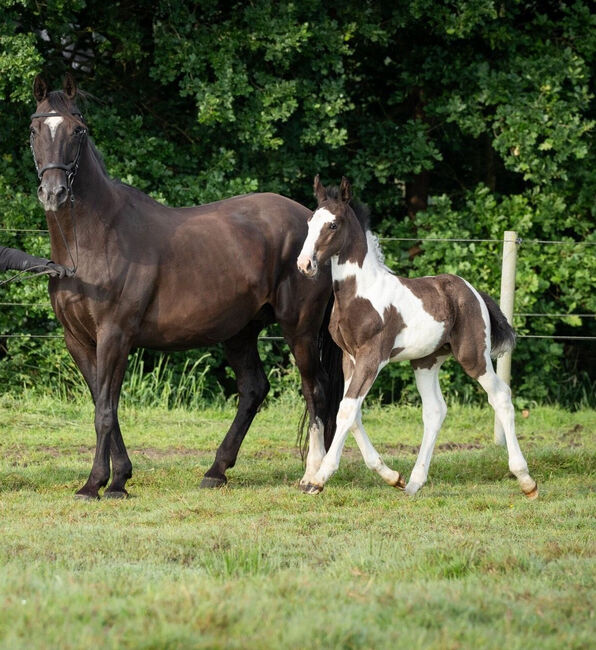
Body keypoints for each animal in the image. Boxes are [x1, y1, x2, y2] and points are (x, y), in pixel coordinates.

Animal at [30, 73, 342, 496]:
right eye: (34, 130)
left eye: (78, 131)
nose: (54, 192)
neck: (95, 238)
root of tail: (312, 226)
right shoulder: (77, 340)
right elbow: (102, 405)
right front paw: (119, 478)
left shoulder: (115, 335)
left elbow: (106, 412)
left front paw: (95, 484)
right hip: (241, 331)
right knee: (254, 389)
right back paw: (216, 471)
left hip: (300, 329)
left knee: (316, 391)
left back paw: (313, 475)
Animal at [296, 175, 536, 498]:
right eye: (310, 222)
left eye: (332, 224)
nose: (304, 264)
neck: (360, 294)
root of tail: (472, 292)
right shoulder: (350, 359)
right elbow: (352, 412)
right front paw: (391, 476)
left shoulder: (372, 358)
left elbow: (346, 410)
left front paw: (319, 479)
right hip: (426, 361)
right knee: (435, 410)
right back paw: (412, 483)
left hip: (474, 356)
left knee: (501, 396)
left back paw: (525, 479)